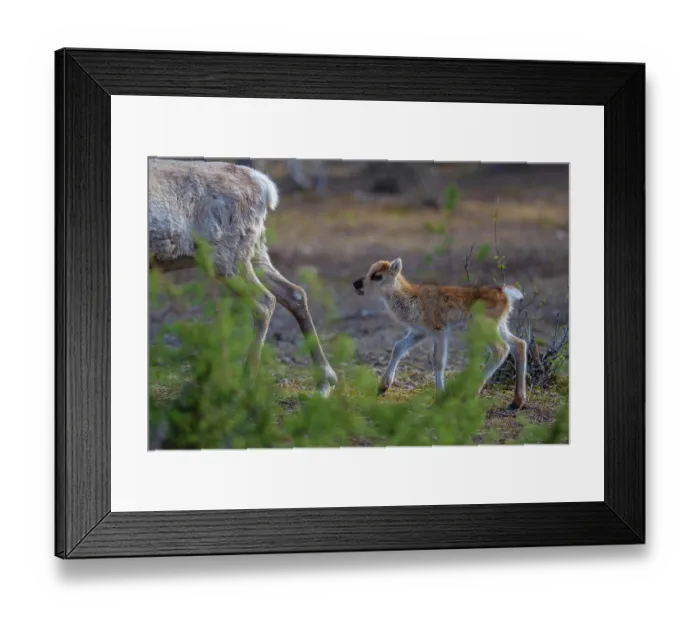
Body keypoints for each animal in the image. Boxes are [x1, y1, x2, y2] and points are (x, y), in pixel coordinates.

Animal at [148, 157, 338, 396]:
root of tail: (264, 186)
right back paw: (325, 381)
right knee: (294, 293)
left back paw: (245, 382)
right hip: (255, 252)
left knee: (265, 301)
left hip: (227, 258)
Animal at [352, 258, 527, 409]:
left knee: (501, 349)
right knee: (519, 344)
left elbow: (438, 360)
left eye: (377, 276)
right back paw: (516, 402)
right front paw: (382, 387)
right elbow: (398, 348)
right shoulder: (419, 332)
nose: (356, 283)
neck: (414, 299)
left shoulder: (439, 332)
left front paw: (441, 397)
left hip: (483, 328)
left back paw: (469, 394)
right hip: (500, 326)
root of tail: (504, 293)